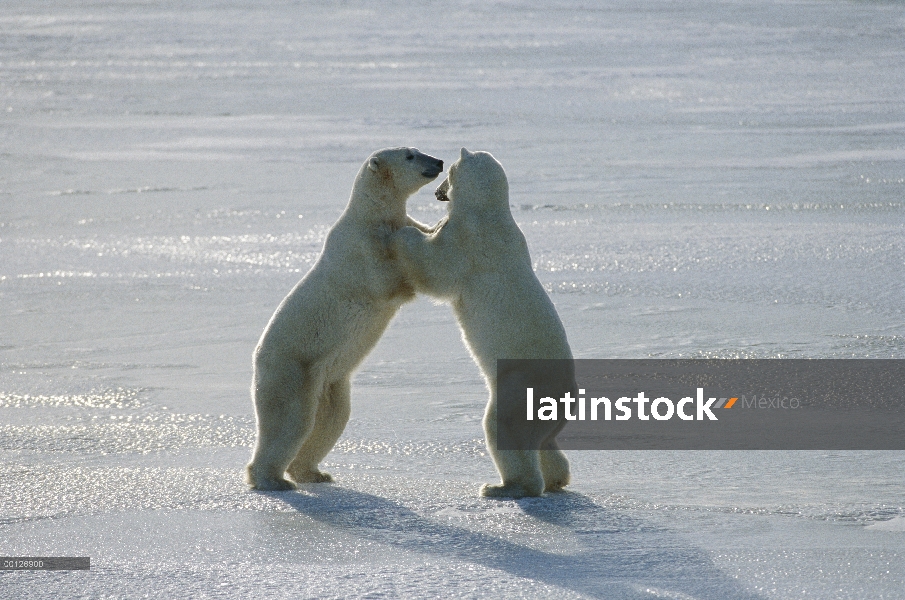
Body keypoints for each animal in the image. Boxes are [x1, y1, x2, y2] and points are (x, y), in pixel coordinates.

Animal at [247, 148, 444, 490]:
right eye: (410, 155)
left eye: (419, 150)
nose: (439, 162)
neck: (370, 215)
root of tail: (257, 359)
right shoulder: (360, 249)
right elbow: (385, 282)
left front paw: (436, 227)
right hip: (292, 370)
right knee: (289, 421)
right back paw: (272, 479)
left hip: (330, 382)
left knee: (331, 420)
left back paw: (313, 472)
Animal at [388, 146, 572, 496]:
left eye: (448, 173)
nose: (438, 192)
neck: (488, 211)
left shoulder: (470, 242)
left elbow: (438, 271)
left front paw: (403, 233)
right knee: (544, 442)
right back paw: (556, 479)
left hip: (518, 386)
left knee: (503, 426)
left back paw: (504, 487)